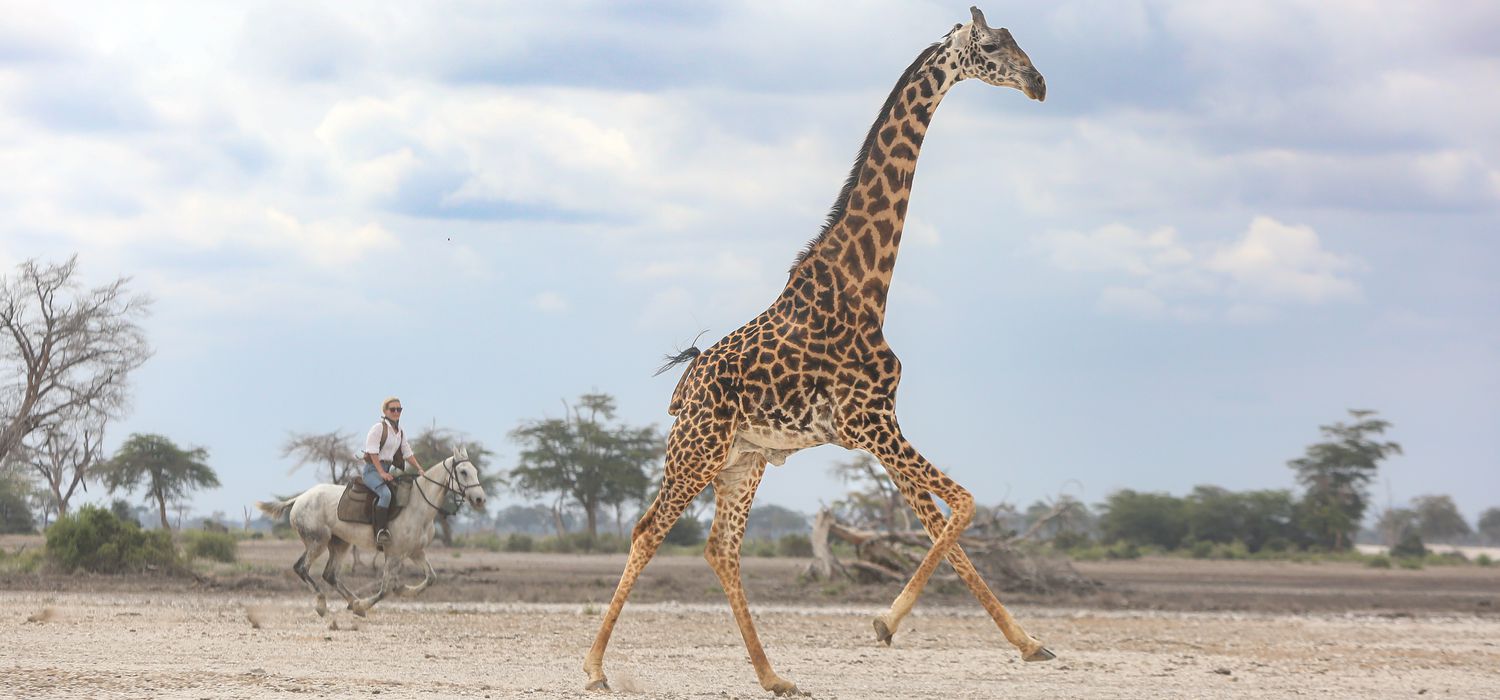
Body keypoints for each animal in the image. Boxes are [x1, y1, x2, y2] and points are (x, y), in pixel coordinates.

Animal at [258, 446, 486, 617]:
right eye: (463, 472)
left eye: (475, 470)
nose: (480, 499)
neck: (418, 505)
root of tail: (300, 498)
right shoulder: (393, 554)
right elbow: (384, 590)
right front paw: (368, 603)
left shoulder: (416, 552)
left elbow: (431, 578)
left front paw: (403, 590)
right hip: (318, 542)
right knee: (302, 568)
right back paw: (324, 604)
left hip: (340, 544)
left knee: (330, 575)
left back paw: (353, 603)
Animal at [585, 6, 1056, 695]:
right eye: (994, 46)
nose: (1039, 84)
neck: (866, 284)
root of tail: (684, 386)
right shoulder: (871, 422)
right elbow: (965, 505)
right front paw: (885, 623)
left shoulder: (879, 425)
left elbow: (943, 522)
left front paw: (1028, 643)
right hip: (697, 450)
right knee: (648, 532)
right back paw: (595, 666)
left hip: (744, 460)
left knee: (721, 549)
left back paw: (772, 675)